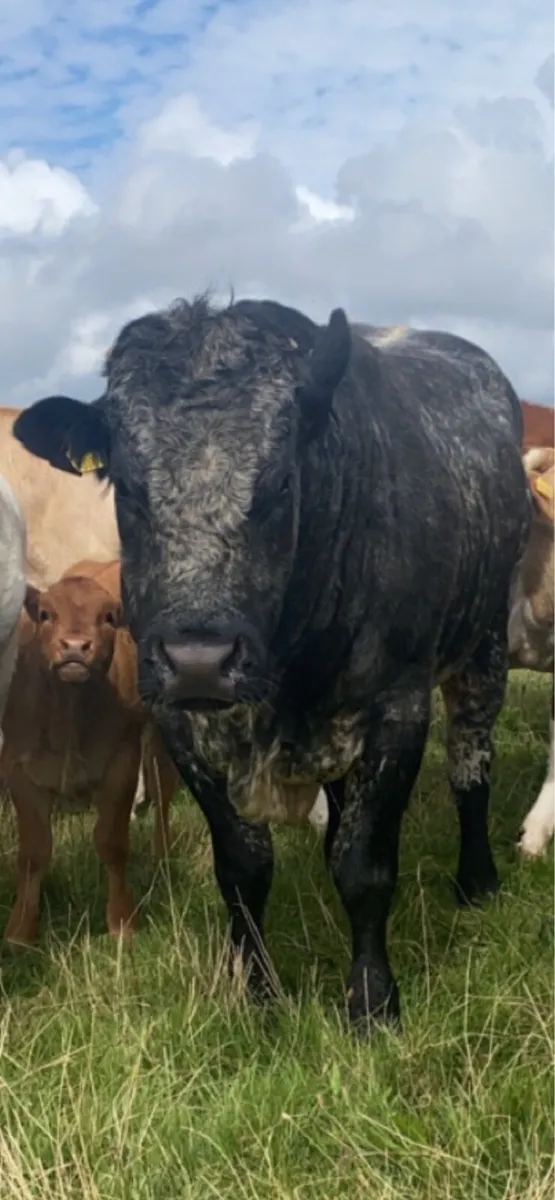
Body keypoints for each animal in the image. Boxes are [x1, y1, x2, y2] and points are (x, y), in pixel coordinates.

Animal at [0, 560, 177, 947]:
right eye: (46, 614)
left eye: (108, 617)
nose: (75, 647)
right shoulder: (20, 770)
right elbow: (33, 853)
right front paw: (20, 931)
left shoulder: (121, 763)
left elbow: (112, 844)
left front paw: (122, 922)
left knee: (162, 787)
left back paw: (162, 859)